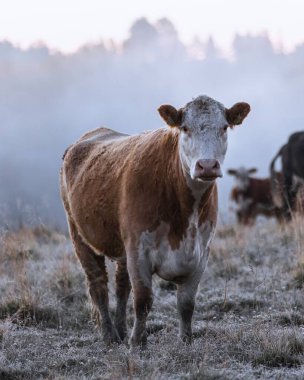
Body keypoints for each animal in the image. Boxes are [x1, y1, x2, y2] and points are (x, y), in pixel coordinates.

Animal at [60, 95, 251, 348]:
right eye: (185, 128)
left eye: (224, 127)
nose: (207, 165)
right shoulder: (139, 248)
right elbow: (143, 300)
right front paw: (138, 342)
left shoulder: (202, 252)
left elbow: (186, 303)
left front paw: (186, 340)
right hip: (79, 234)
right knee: (98, 286)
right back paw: (110, 336)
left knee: (121, 286)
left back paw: (121, 330)